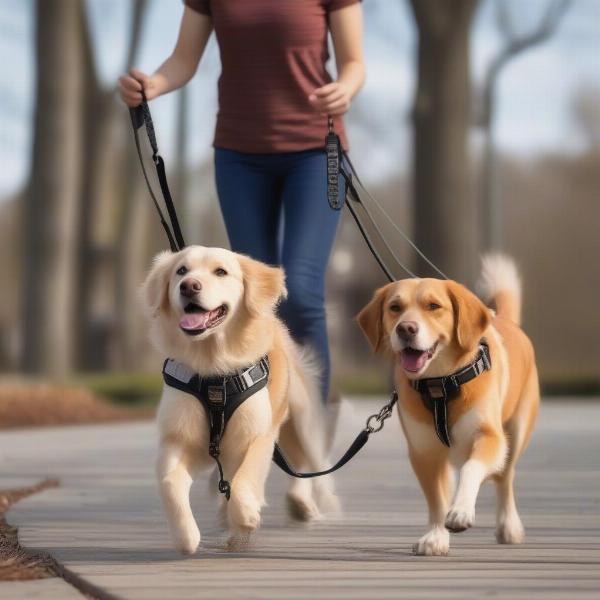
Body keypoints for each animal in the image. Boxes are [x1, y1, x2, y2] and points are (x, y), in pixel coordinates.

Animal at [141, 245, 338, 552]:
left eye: (221, 271)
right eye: (181, 271)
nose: (189, 286)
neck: (212, 368)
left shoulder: (256, 434)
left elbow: (246, 477)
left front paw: (246, 517)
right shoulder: (179, 438)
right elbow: (170, 482)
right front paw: (187, 537)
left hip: (300, 417)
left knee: (303, 460)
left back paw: (300, 504)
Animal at [356, 255, 540, 556]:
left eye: (434, 306)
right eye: (395, 308)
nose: (406, 328)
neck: (440, 385)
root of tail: (505, 320)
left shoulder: (489, 437)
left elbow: (471, 469)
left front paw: (461, 511)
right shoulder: (424, 452)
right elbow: (436, 499)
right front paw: (436, 536)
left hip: (515, 434)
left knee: (504, 478)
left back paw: (508, 525)